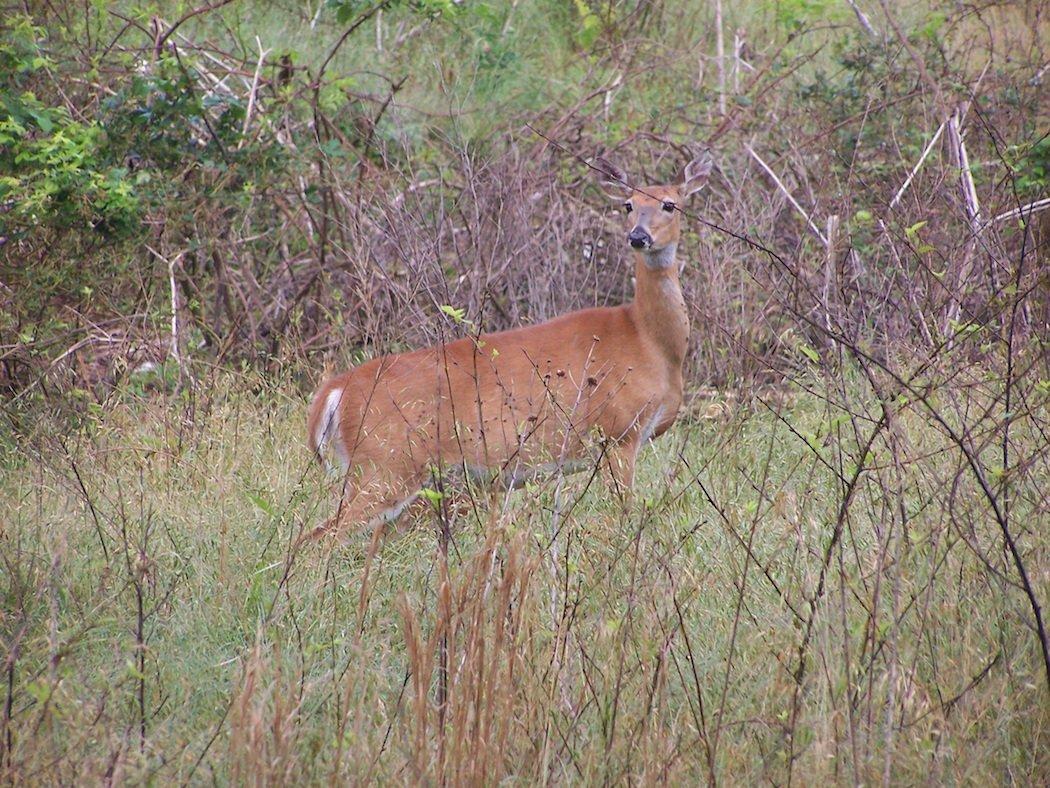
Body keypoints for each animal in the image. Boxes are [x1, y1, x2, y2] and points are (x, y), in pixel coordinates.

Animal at [304, 151, 713, 542]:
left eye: (670, 204)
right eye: (628, 204)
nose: (639, 237)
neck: (649, 341)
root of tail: (335, 390)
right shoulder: (618, 432)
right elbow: (624, 514)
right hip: (386, 465)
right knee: (321, 536)